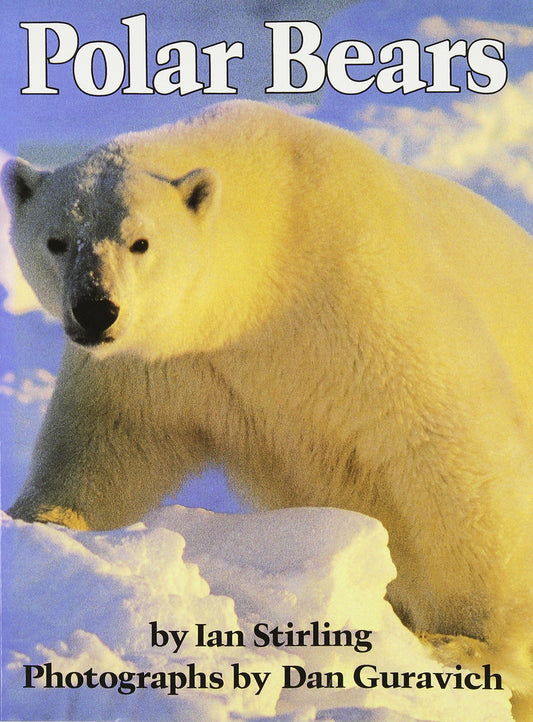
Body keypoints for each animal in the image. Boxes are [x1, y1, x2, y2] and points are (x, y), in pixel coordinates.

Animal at [2, 100, 533, 719]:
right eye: (57, 240)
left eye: (140, 242)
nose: (94, 309)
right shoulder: (164, 364)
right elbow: (105, 442)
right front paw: (44, 525)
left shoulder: (368, 298)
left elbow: (450, 449)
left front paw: (467, 644)